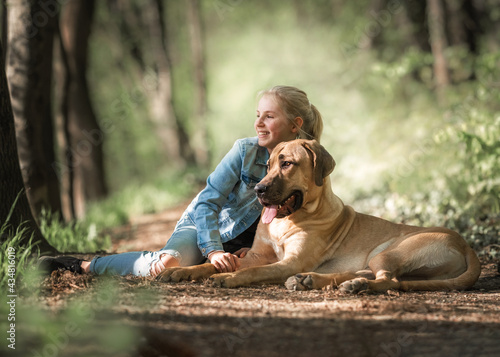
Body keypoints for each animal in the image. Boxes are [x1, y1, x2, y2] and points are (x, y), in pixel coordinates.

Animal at [159, 139, 480, 292]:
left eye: (287, 164)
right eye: (268, 165)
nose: (259, 190)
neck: (289, 220)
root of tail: (466, 244)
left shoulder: (289, 262)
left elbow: (250, 272)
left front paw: (228, 278)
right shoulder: (256, 254)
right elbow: (217, 264)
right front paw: (184, 271)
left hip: (390, 250)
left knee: (390, 281)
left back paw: (350, 286)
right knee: (372, 274)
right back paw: (314, 281)